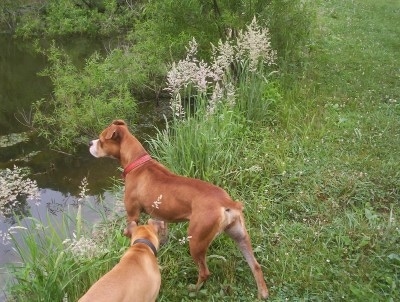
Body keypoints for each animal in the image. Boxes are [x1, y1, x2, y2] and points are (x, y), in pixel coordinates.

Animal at [88, 120, 268, 300]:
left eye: (101, 140)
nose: (90, 143)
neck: (137, 162)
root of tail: (227, 202)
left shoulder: (133, 215)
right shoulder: (160, 218)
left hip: (196, 242)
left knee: (205, 272)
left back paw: (193, 290)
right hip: (240, 236)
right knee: (256, 265)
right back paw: (262, 293)